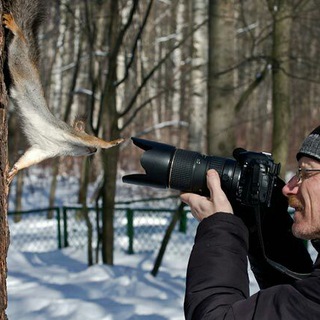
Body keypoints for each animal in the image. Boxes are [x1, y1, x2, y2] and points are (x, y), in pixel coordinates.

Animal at [2, 2, 125, 184]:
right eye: (86, 132)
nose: (94, 151)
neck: (68, 147)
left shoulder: (44, 150)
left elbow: (26, 160)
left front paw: (13, 172)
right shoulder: (74, 135)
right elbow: (97, 140)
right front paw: (113, 142)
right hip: (19, 61)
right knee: (19, 42)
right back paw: (15, 27)